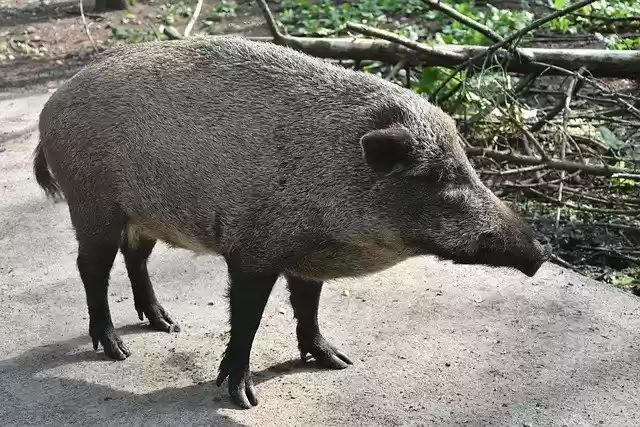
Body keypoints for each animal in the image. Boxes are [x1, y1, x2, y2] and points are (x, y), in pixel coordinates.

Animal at [33, 35, 549, 409]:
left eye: (467, 165)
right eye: (437, 175)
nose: (541, 252)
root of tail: (49, 108)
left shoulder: (308, 258)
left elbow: (308, 306)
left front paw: (338, 362)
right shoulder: (252, 251)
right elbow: (248, 319)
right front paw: (243, 400)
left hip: (144, 216)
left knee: (135, 257)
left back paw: (167, 325)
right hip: (92, 205)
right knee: (91, 267)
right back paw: (117, 349)